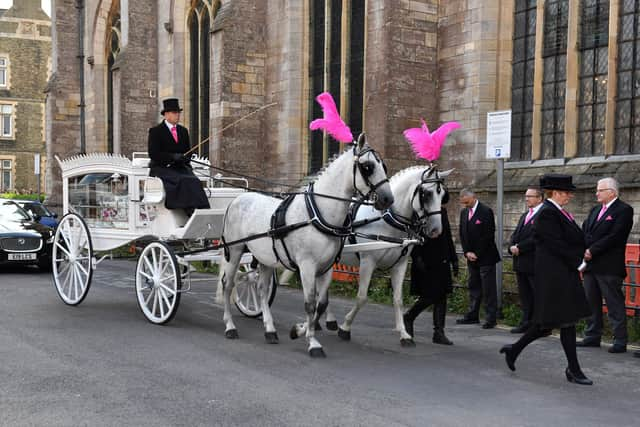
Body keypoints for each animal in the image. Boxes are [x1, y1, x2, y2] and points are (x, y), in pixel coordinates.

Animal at [218, 134, 392, 358]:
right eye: (367, 166)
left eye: (384, 165)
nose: (388, 199)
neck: (318, 213)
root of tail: (237, 198)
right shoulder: (307, 266)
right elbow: (310, 304)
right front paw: (312, 342)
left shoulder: (326, 268)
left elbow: (321, 304)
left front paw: (299, 330)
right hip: (235, 251)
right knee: (228, 284)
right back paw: (230, 326)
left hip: (265, 257)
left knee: (262, 290)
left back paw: (270, 330)